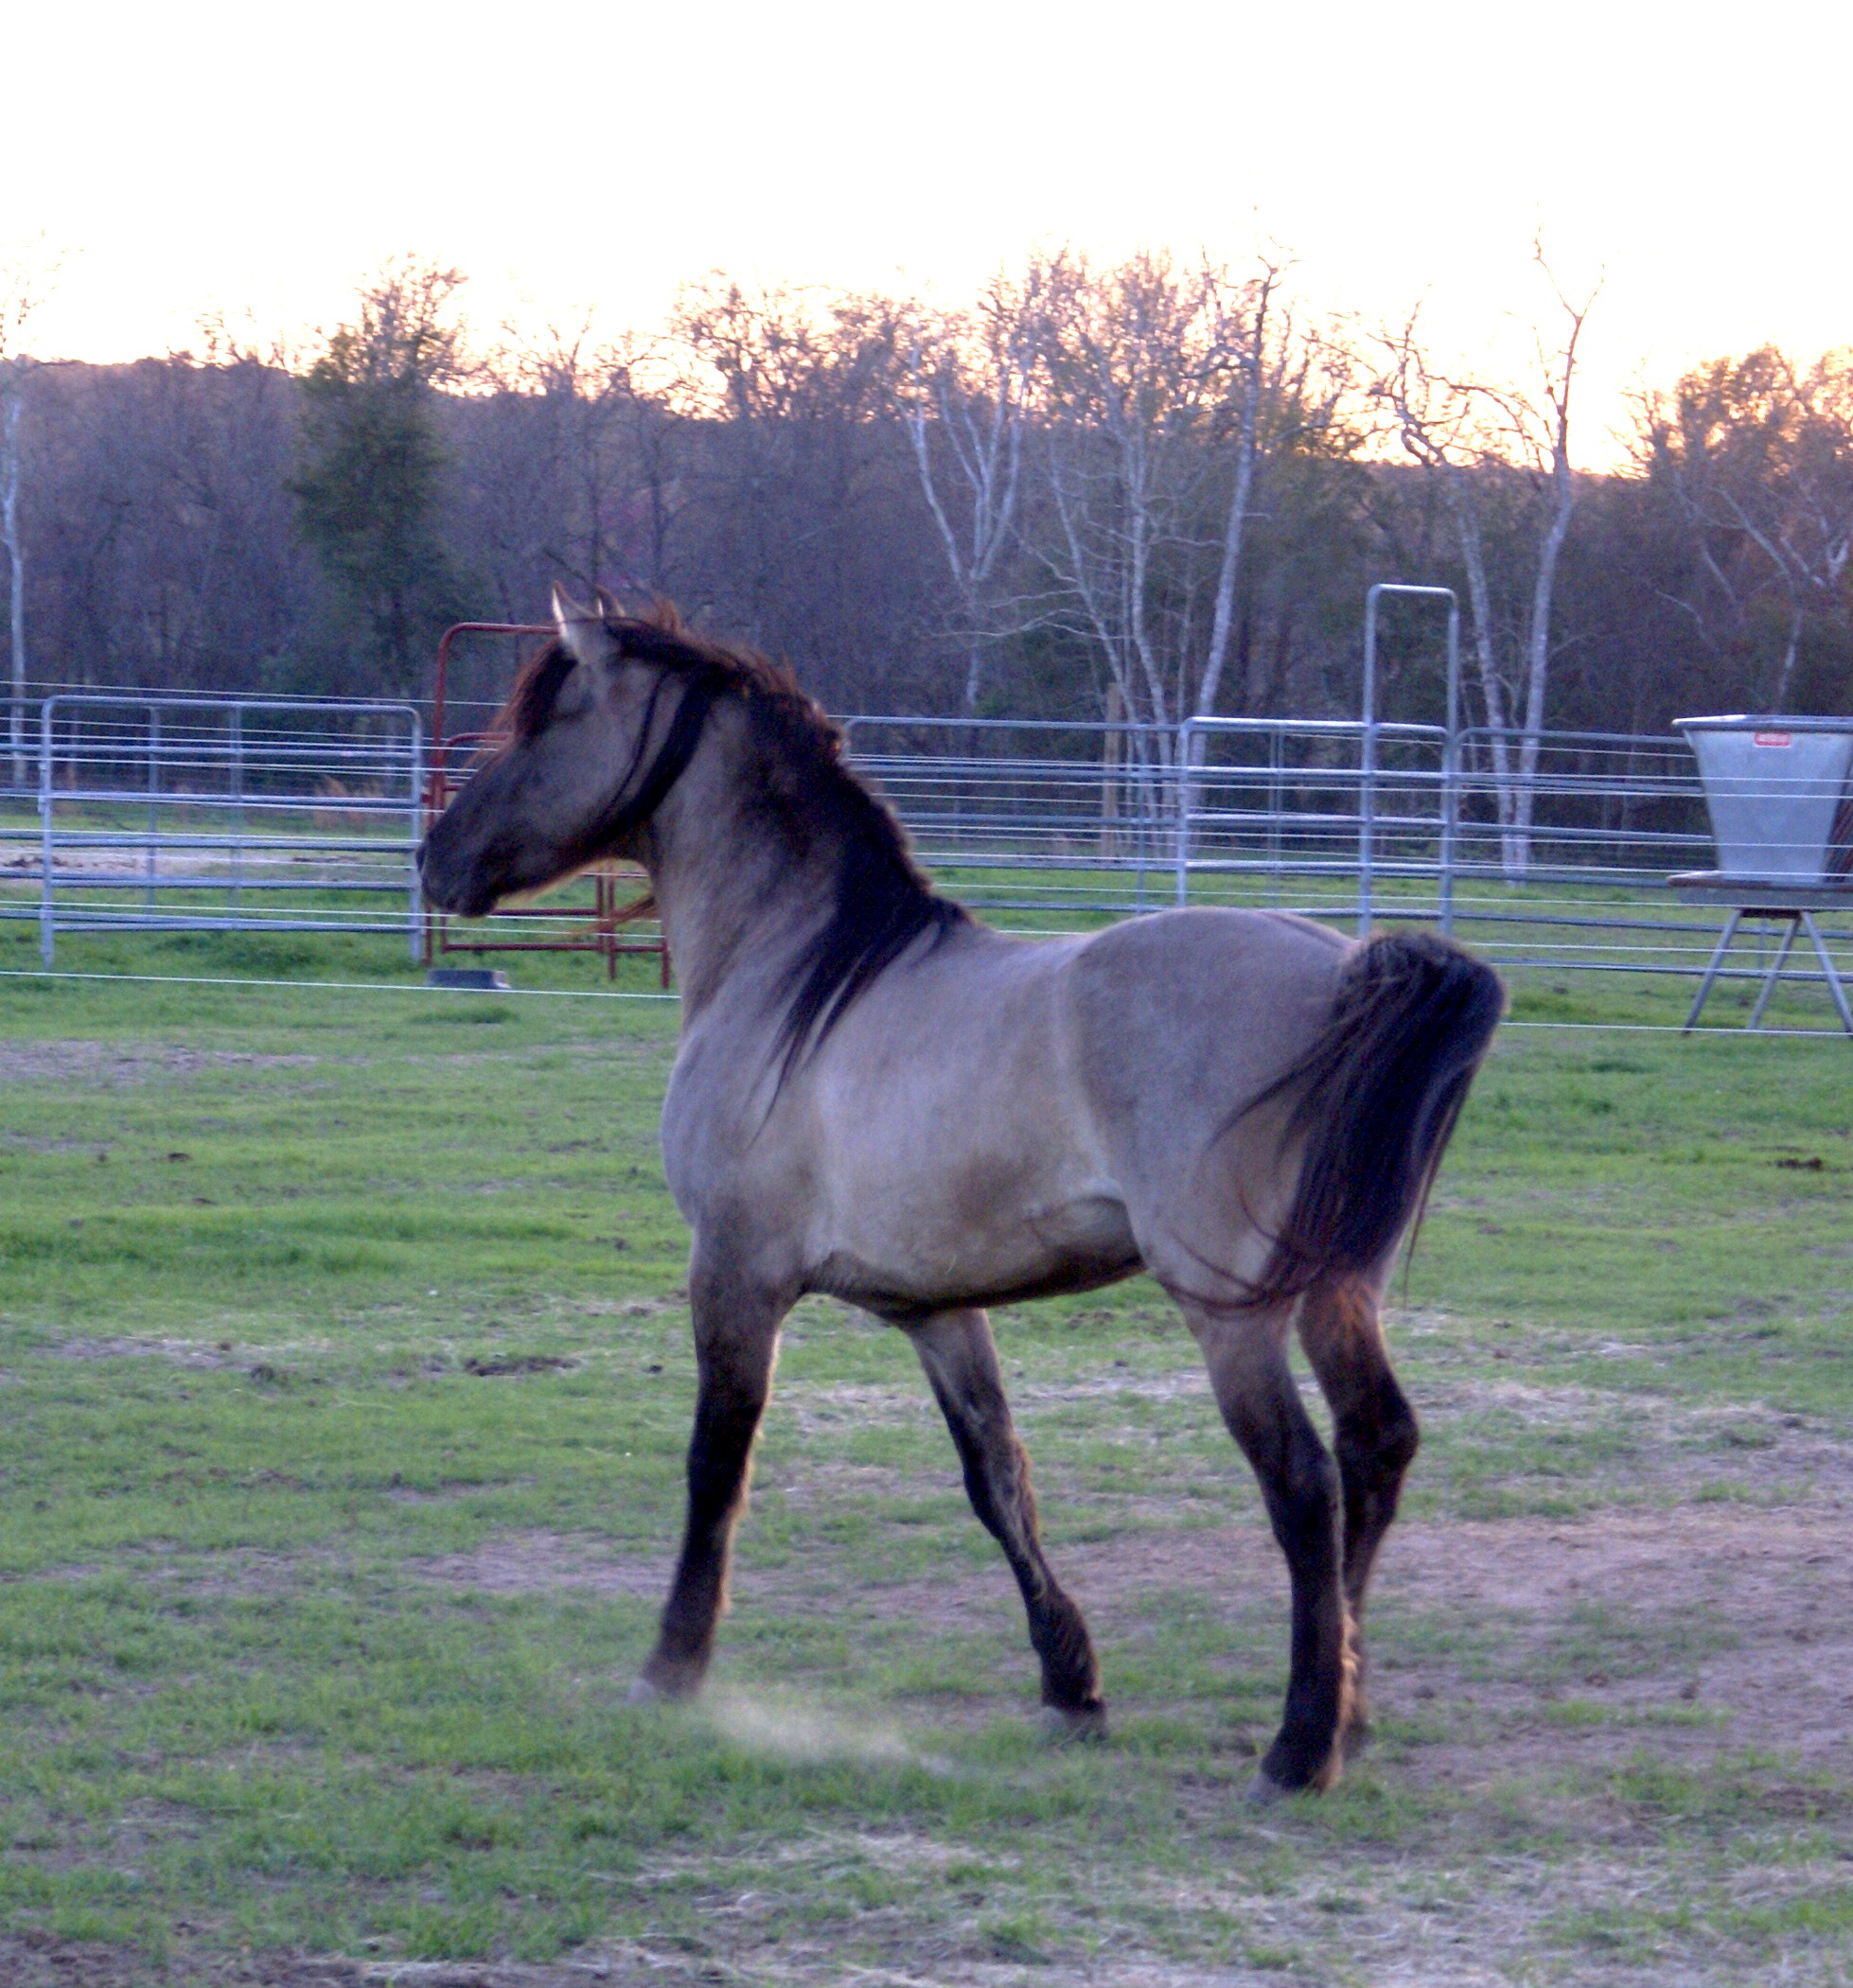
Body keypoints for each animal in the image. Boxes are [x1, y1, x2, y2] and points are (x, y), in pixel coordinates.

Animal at [419, 592, 1503, 1804]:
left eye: (545, 720)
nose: (432, 857)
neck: (796, 976)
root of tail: (1346, 970)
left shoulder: (734, 1275)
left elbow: (715, 1465)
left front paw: (672, 1667)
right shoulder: (933, 1309)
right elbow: (998, 1481)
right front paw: (1070, 1687)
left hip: (1231, 1312)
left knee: (1303, 1482)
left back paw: (1299, 1745)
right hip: (1332, 1293)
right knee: (1376, 1444)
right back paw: (1349, 1710)